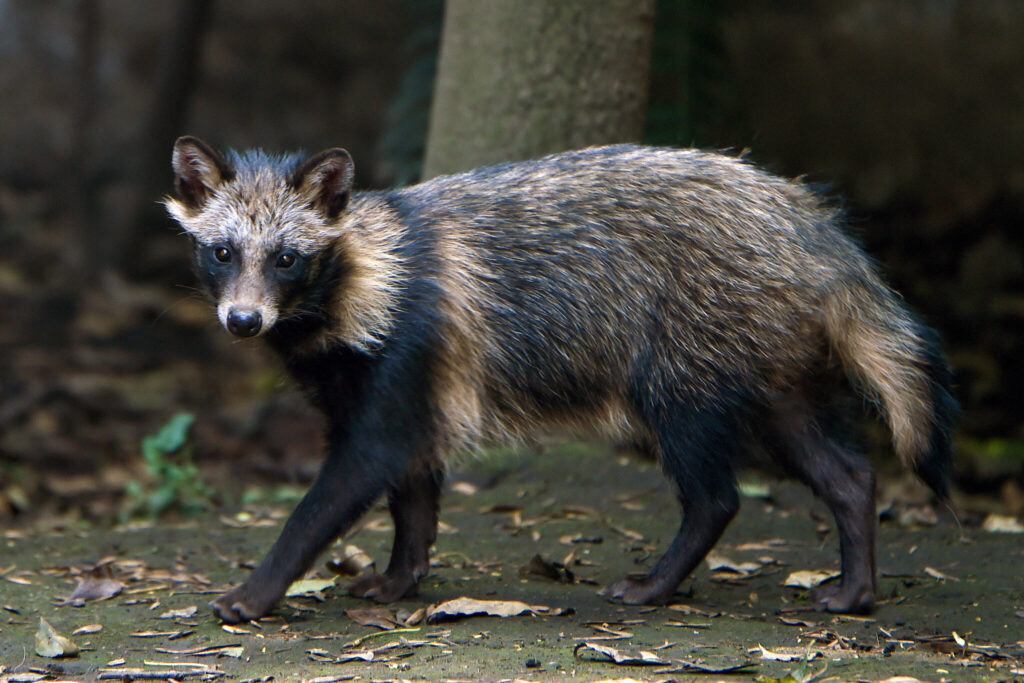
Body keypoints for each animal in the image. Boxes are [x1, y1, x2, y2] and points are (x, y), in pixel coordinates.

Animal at [163, 137, 954, 626]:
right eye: (223, 252)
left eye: (287, 258)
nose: (242, 320)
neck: (364, 275)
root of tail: (806, 221)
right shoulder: (397, 390)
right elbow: (413, 496)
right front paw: (401, 574)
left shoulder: (403, 363)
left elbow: (330, 498)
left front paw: (258, 587)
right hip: (769, 374)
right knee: (847, 471)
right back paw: (857, 583)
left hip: (684, 366)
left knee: (716, 495)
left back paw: (661, 580)